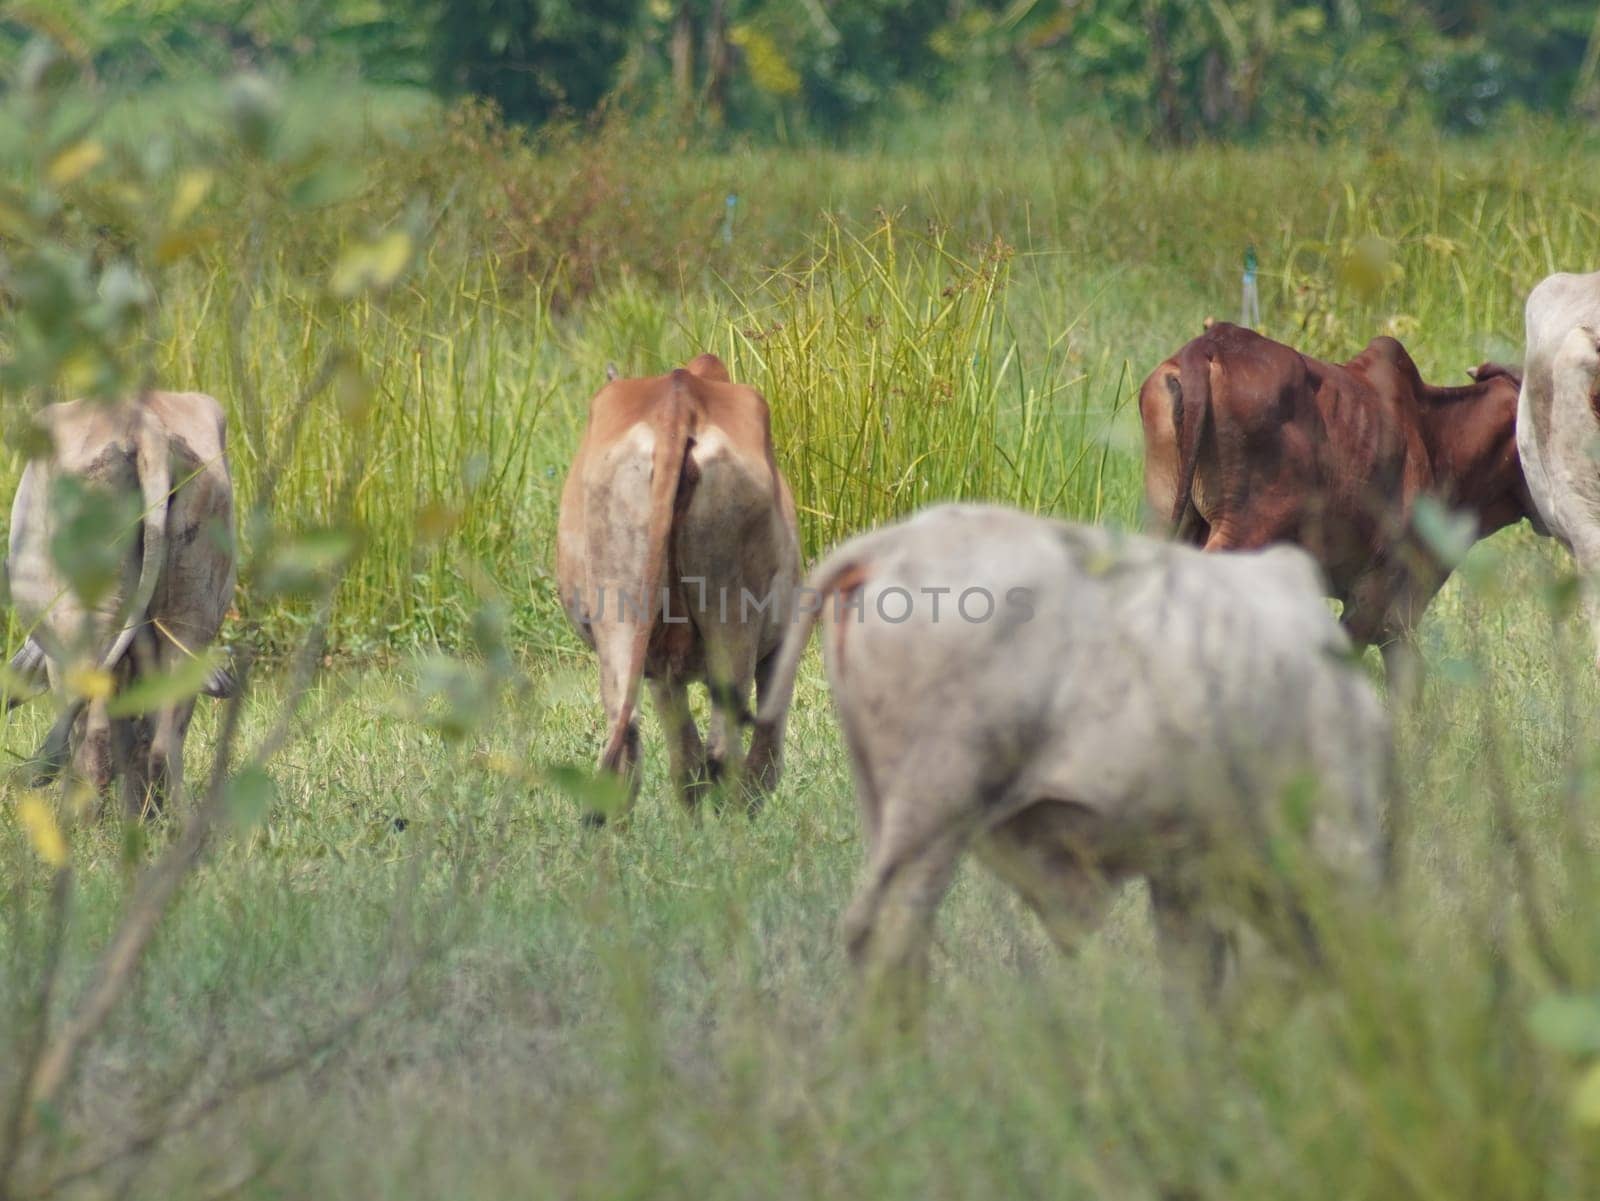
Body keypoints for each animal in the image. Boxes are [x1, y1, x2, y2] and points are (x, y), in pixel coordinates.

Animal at [5, 395, 236, 818]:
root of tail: (147, 429)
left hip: (84, 623)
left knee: (94, 735)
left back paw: (78, 822)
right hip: (189, 616)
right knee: (162, 738)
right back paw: (162, 820)